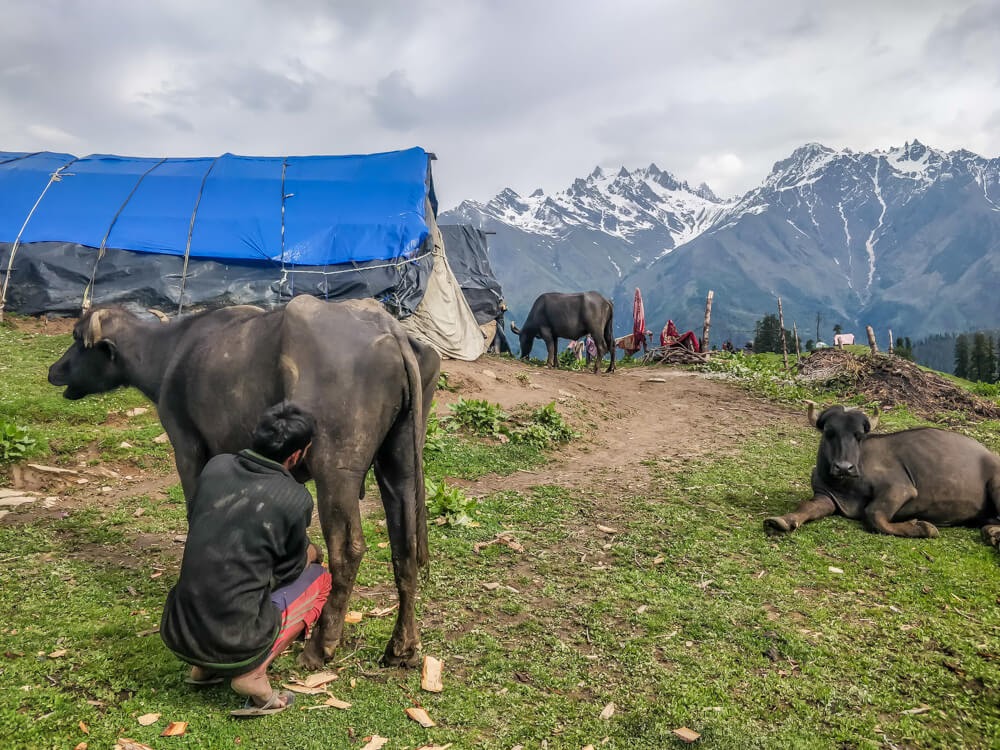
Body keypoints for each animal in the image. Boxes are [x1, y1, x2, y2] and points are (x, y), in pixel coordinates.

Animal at [46, 296, 438, 668]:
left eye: (77, 339)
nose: (53, 370)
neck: (171, 354)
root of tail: (391, 330)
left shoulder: (187, 447)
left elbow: (194, 511)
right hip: (400, 462)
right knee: (404, 549)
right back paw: (402, 647)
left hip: (335, 468)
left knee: (349, 549)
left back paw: (321, 646)